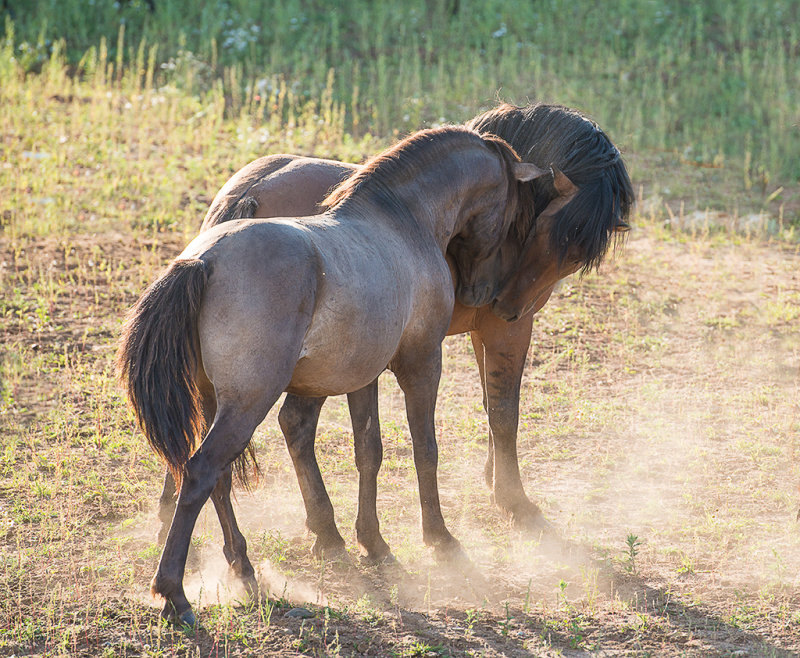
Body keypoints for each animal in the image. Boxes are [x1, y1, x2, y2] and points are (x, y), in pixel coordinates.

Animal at [119, 125, 544, 624]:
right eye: (515, 214)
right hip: (247, 403)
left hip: (212, 402)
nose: (483, 293)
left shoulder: (363, 376)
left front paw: (374, 544)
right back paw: (174, 592)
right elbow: (425, 450)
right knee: (201, 472)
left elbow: (369, 452)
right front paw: (439, 539)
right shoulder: (421, 362)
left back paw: (244, 568)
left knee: (215, 478)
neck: (401, 222)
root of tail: (204, 260)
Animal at [153, 100, 636, 560]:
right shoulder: (495, 334)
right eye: (547, 232)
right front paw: (510, 502)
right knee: (276, 432)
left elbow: (471, 409)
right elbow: (498, 414)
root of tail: (252, 189)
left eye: (575, 253)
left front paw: (490, 482)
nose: (494, 297)